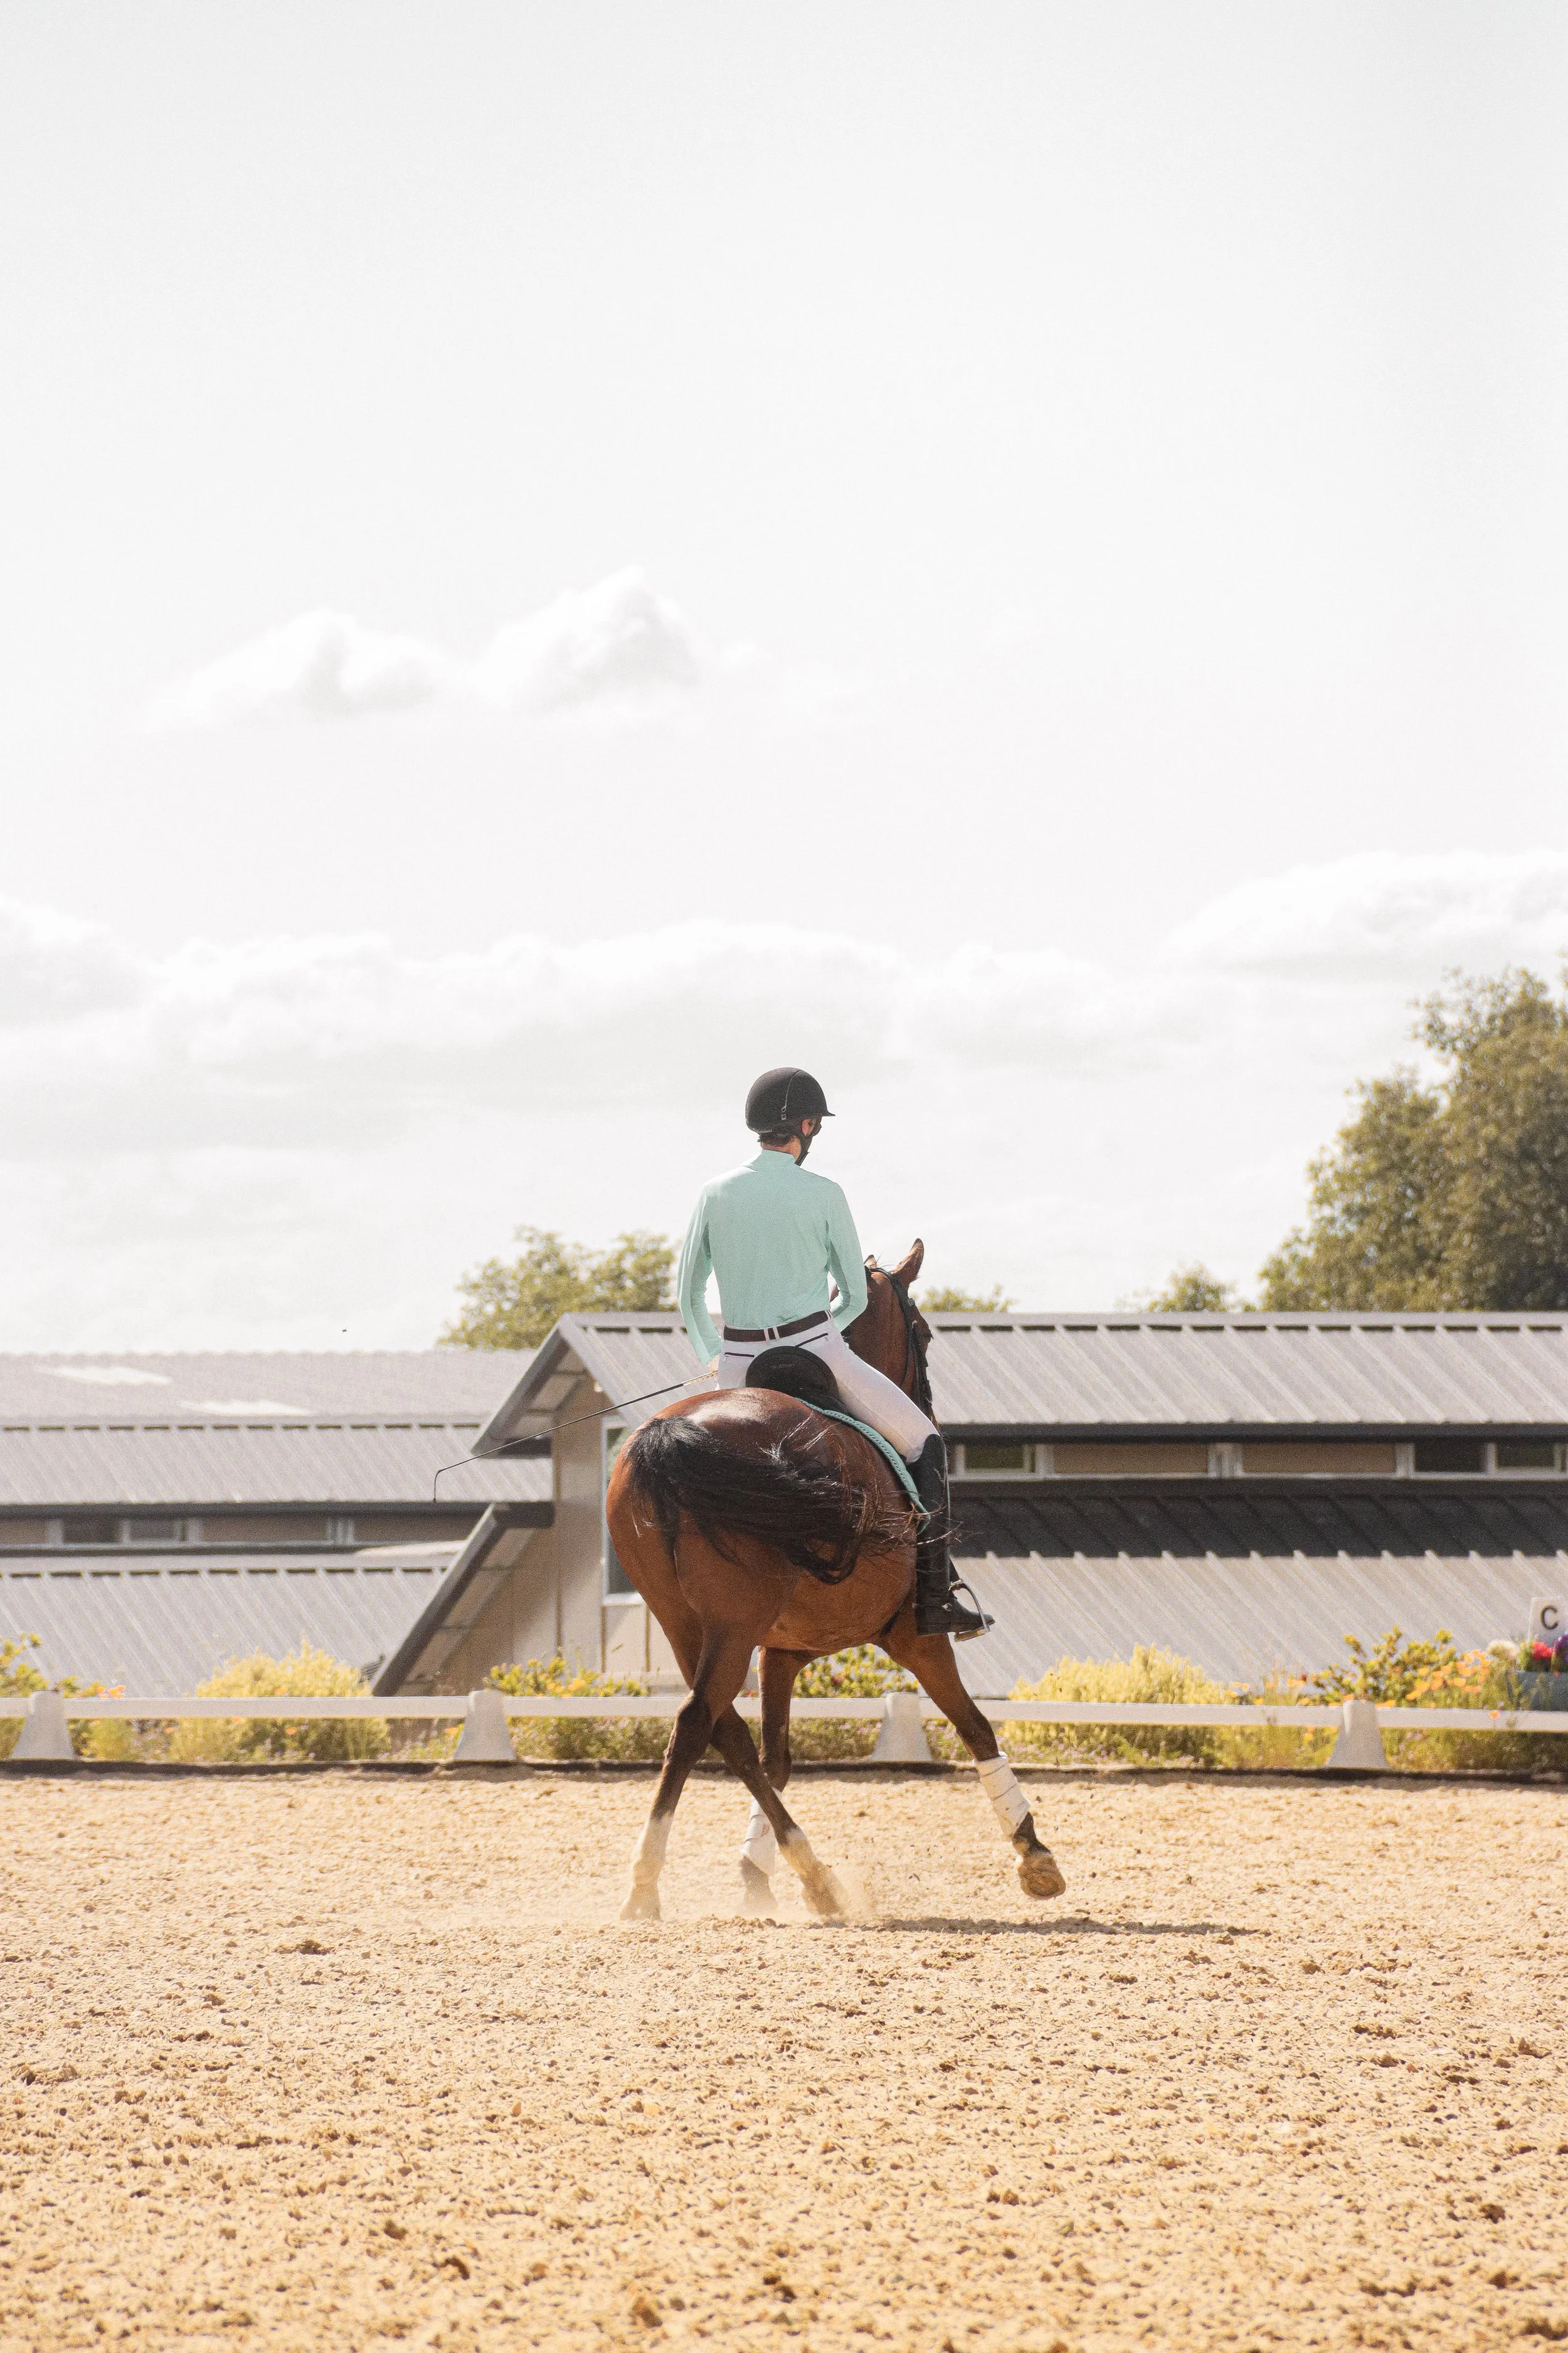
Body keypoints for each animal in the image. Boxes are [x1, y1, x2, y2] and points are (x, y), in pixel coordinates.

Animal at [604, 1239, 1067, 1921]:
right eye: (923, 1331)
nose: (928, 1405)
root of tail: (672, 1435)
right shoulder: (915, 1636)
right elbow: (975, 1726)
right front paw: (1033, 1853)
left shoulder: (780, 1650)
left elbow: (776, 1758)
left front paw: (755, 1875)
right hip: (731, 1624)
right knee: (695, 1724)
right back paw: (652, 1882)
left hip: (683, 1623)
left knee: (722, 1730)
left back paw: (806, 1875)